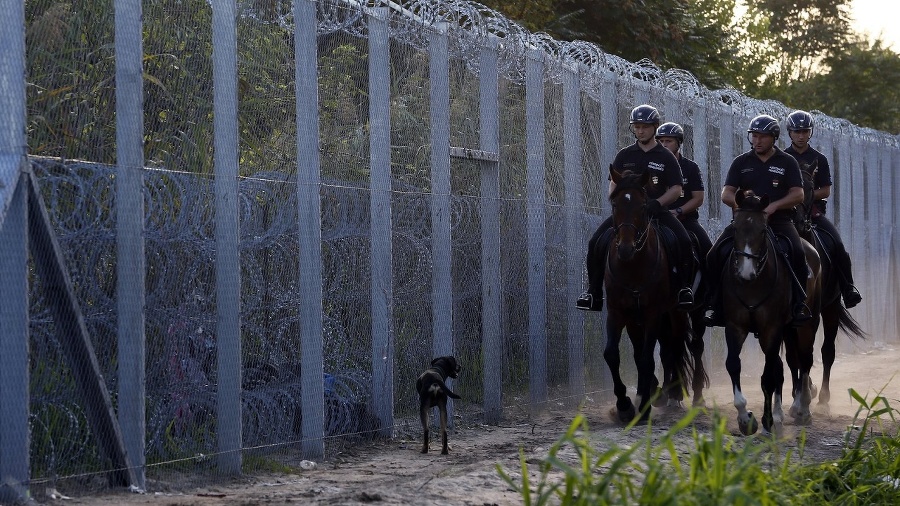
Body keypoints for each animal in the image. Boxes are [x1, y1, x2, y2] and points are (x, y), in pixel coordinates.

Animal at [600, 170, 708, 422]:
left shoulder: (652, 314)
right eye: (614, 204)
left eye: (642, 206)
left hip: (689, 311)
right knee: (670, 349)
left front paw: (644, 405)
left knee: (690, 346)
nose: (626, 248)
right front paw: (626, 404)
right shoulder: (619, 313)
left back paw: (690, 396)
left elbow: (647, 358)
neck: (633, 265)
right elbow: (614, 354)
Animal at [720, 192, 820, 432]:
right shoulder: (735, 326)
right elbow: (733, 364)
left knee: (805, 359)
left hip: (806, 325)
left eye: (763, 230)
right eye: (735, 228)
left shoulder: (771, 329)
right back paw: (782, 413)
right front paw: (744, 418)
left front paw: (766, 420)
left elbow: (767, 377)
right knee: (785, 364)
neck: (752, 283)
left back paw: (803, 409)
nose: (745, 272)